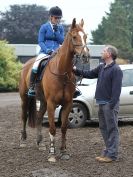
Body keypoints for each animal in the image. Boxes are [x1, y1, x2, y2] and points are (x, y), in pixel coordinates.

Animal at [19, 18, 89, 162]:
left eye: (85, 36)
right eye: (74, 37)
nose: (85, 56)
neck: (62, 72)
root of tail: (27, 64)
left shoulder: (67, 104)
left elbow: (63, 127)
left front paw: (64, 152)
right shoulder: (52, 103)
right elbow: (52, 128)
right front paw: (52, 153)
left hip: (43, 102)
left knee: (39, 118)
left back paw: (40, 143)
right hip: (25, 98)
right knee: (24, 116)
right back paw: (23, 140)